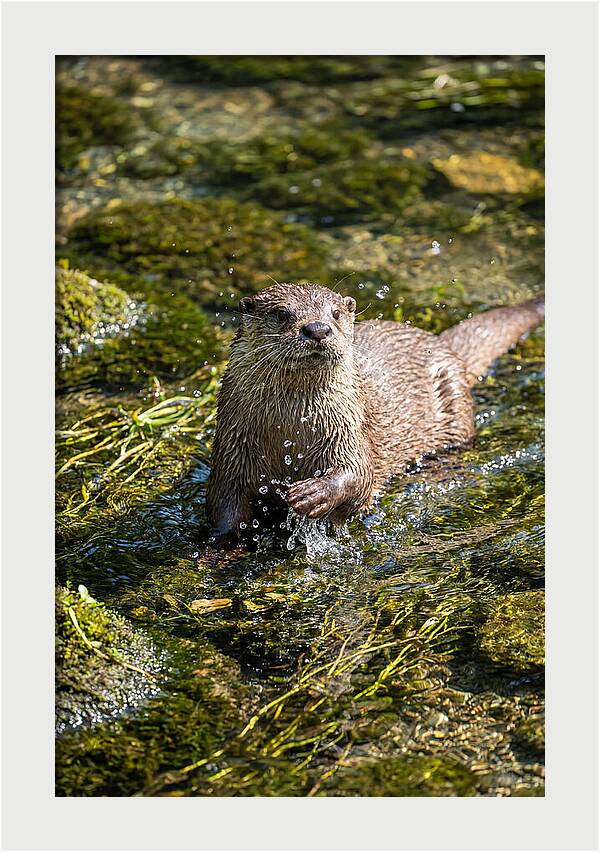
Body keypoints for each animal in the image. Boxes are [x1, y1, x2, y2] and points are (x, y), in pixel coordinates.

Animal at [206, 283, 544, 541]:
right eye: (281, 313)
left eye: (335, 313)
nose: (317, 329)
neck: (291, 432)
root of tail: (443, 345)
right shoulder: (231, 449)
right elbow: (224, 506)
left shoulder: (350, 430)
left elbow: (359, 474)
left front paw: (312, 494)